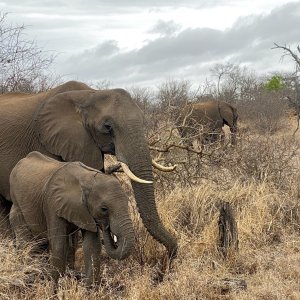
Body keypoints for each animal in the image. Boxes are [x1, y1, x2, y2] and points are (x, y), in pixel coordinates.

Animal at [9, 151, 135, 284]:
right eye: (104, 209)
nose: (106, 226)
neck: (87, 179)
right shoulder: (53, 204)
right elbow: (58, 245)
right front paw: (54, 287)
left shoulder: (86, 212)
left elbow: (92, 246)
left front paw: (88, 287)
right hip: (17, 207)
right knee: (26, 243)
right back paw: (28, 274)